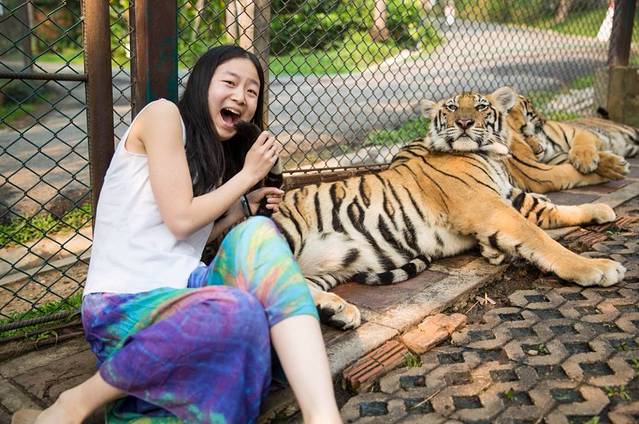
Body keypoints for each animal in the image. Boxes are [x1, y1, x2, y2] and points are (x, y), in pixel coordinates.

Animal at [271, 87, 625, 331]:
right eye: (452, 108)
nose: (465, 122)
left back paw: (338, 312)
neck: (491, 155)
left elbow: (552, 210)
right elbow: (541, 238)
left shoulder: (509, 197)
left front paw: (601, 209)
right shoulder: (491, 207)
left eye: (481, 106)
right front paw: (598, 268)